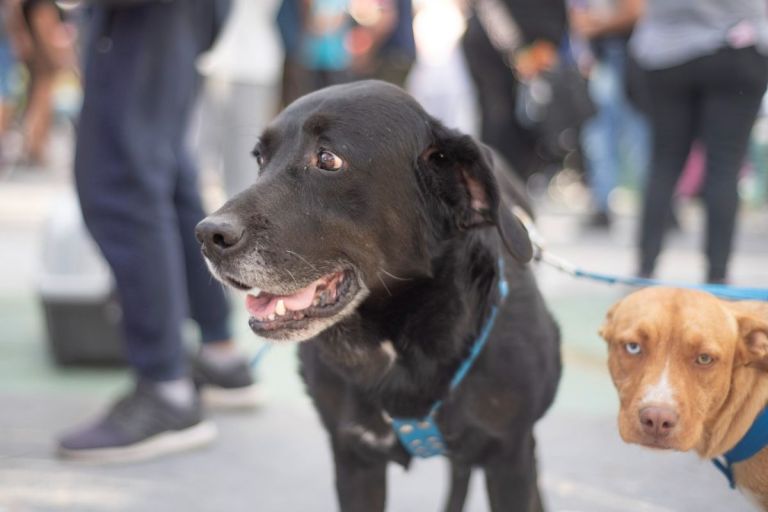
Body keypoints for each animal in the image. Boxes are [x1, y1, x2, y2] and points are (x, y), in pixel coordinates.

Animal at [196, 81, 560, 512]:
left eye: (327, 159)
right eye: (260, 159)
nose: (208, 235)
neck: (399, 342)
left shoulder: (510, 458)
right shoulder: (354, 458)